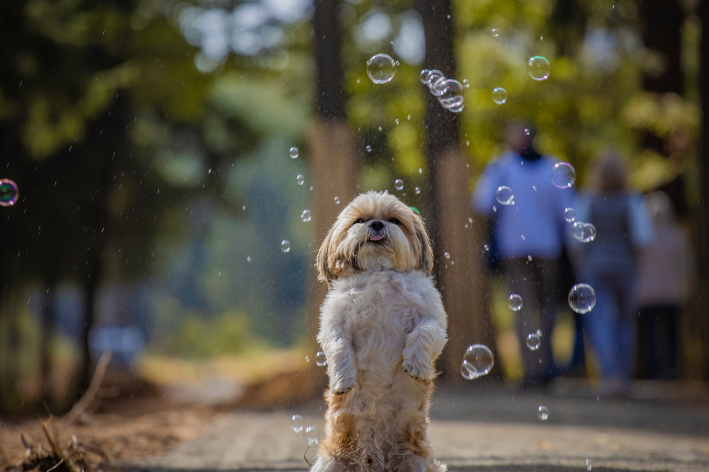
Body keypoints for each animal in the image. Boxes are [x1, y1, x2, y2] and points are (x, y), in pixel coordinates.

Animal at [312, 190, 446, 472]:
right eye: (359, 220)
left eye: (394, 220)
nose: (376, 224)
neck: (379, 273)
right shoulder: (334, 321)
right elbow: (338, 345)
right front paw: (342, 381)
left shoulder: (433, 318)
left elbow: (424, 332)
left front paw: (416, 364)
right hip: (330, 462)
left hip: (416, 462)